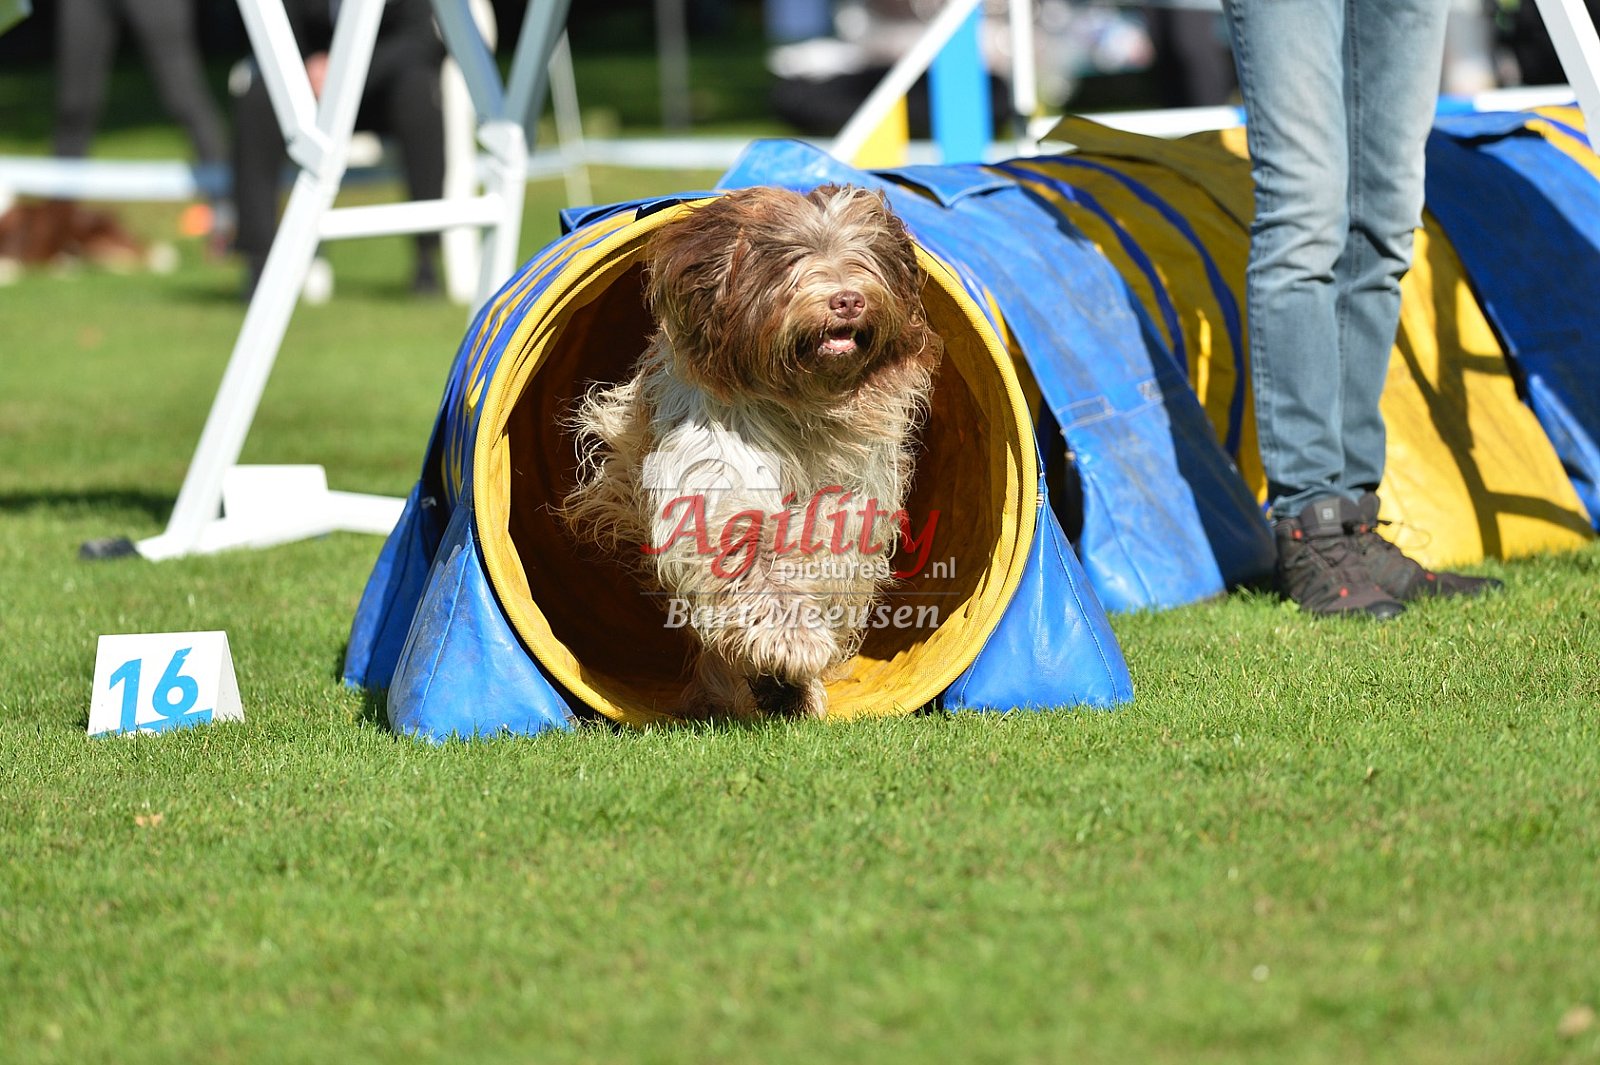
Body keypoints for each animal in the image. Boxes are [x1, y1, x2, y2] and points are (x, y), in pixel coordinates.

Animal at [561, 184, 942, 721]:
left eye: (861, 253)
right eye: (790, 257)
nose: (848, 299)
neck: (802, 403)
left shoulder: (851, 496)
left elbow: (823, 548)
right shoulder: (714, 468)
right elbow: (741, 544)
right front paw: (791, 640)